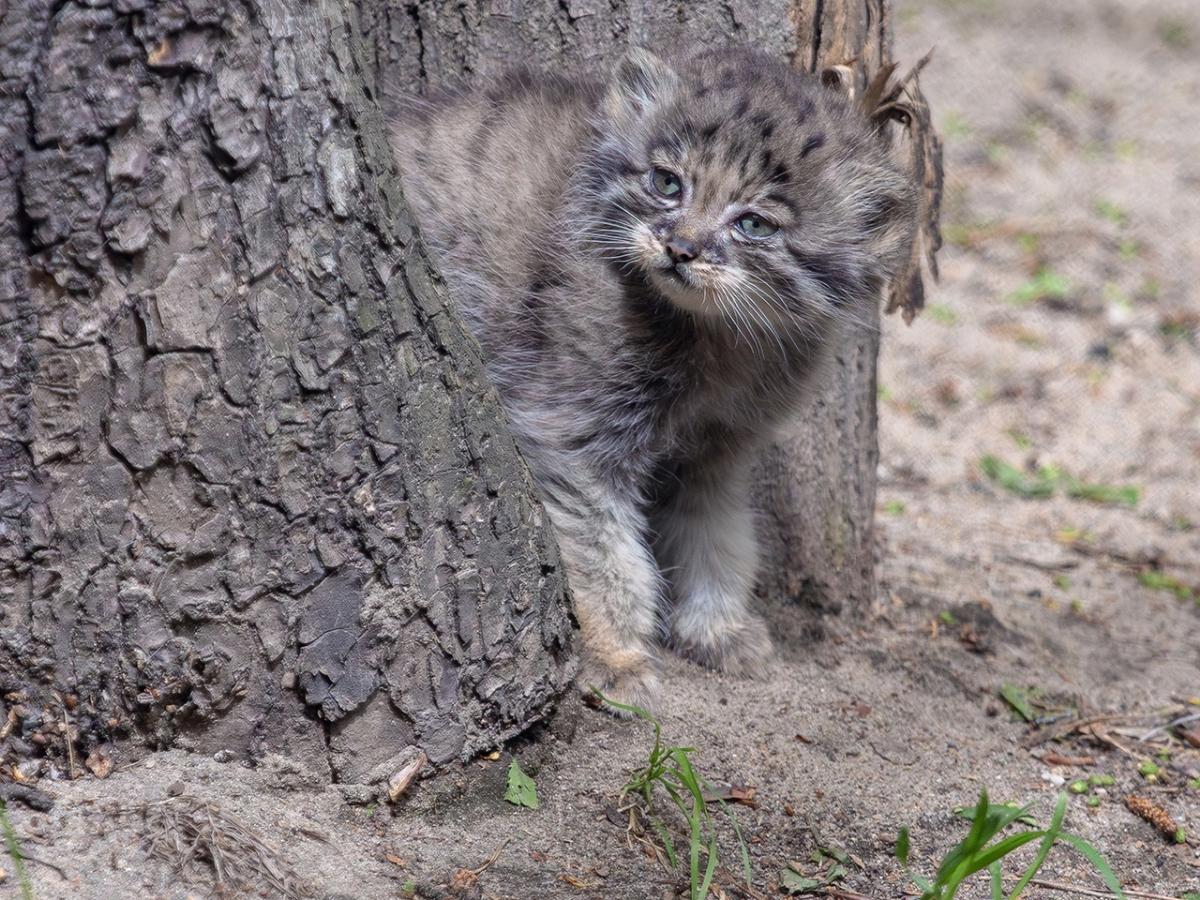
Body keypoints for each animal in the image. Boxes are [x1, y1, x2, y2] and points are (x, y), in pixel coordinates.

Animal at [388, 47, 912, 710]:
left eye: (755, 225)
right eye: (667, 183)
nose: (680, 248)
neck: (719, 343)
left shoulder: (717, 451)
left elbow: (718, 537)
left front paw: (718, 628)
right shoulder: (572, 433)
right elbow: (605, 554)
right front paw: (613, 653)